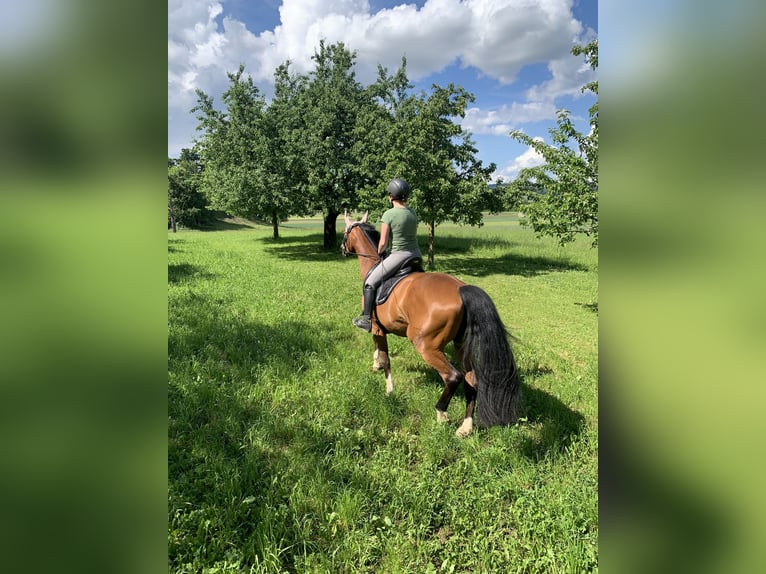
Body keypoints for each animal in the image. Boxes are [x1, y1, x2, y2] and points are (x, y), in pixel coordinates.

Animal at [344, 214, 520, 438]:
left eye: (345, 232)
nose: (342, 249)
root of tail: (461, 288)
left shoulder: (376, 327)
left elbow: (386, 358)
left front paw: (389, 390)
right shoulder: (379, 330)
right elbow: (378, 351)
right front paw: (376, 366)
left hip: (426, 345)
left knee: (453, 377)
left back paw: (441, 413)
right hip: (461, 345)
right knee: (471, 380)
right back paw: (466, 427)